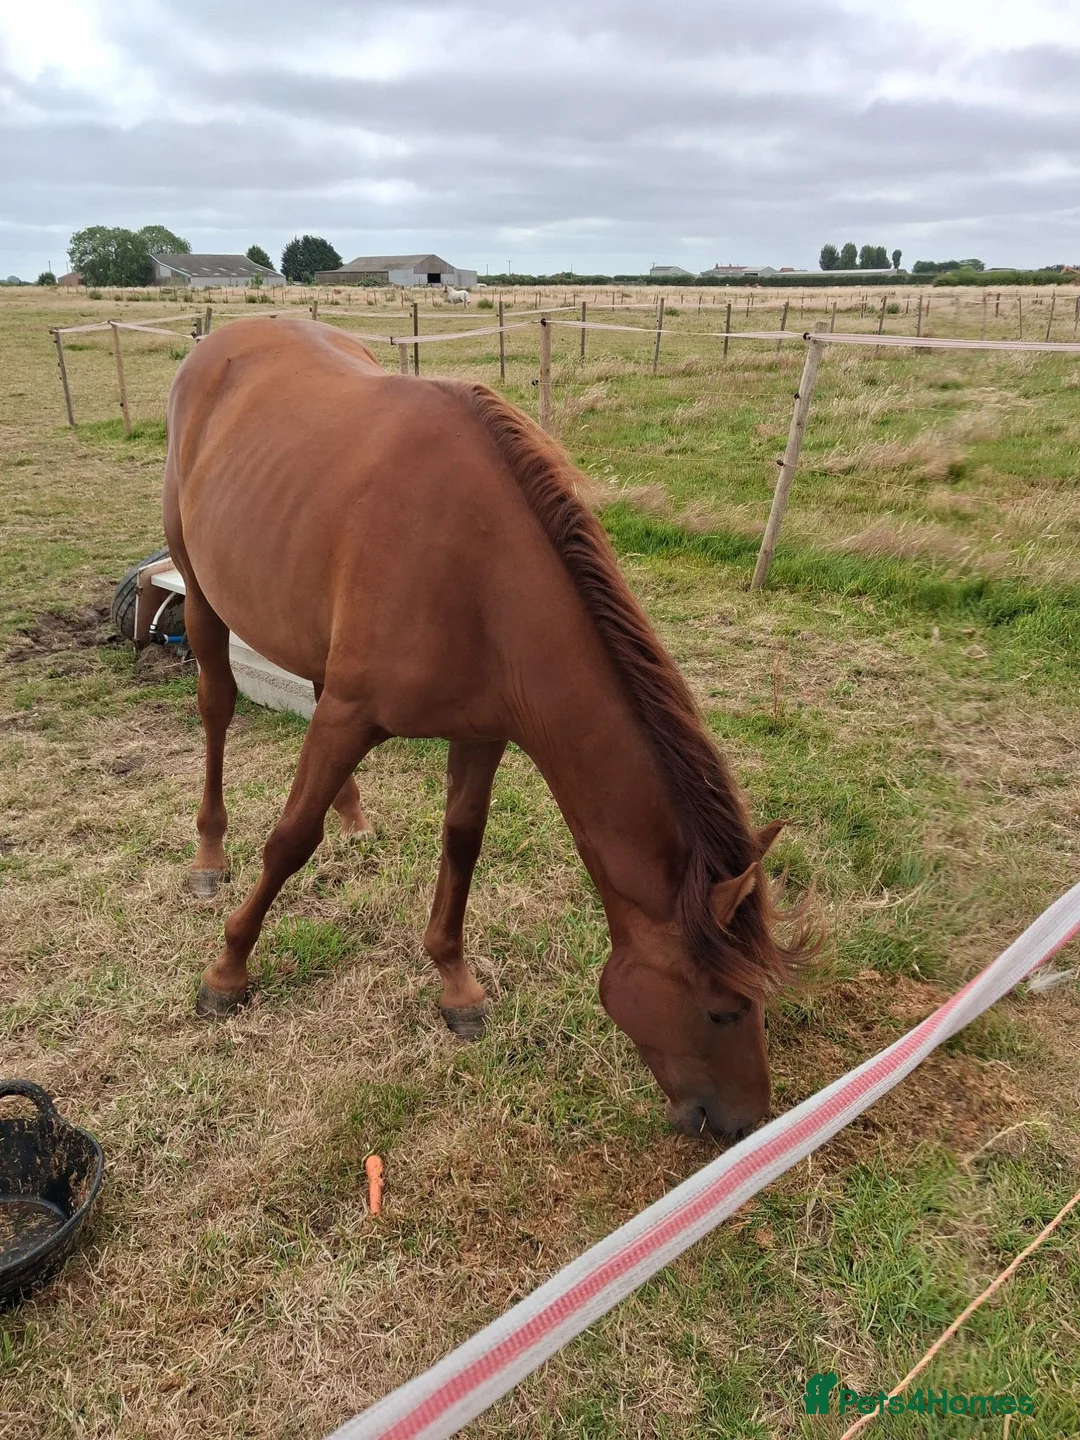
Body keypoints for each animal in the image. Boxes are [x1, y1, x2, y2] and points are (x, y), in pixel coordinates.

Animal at [163, 319, 817, 1140]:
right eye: (725, 1009)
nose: (746, 1124)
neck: (480, 575)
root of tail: (216, 340)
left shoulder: (483, 733)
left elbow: (462, 844)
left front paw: (456, 986)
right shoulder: (351, 716)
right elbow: (288, 842)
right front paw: (227, 971)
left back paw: (354, 817)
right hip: (201, 591)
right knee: (216, 707)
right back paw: (209, 852)